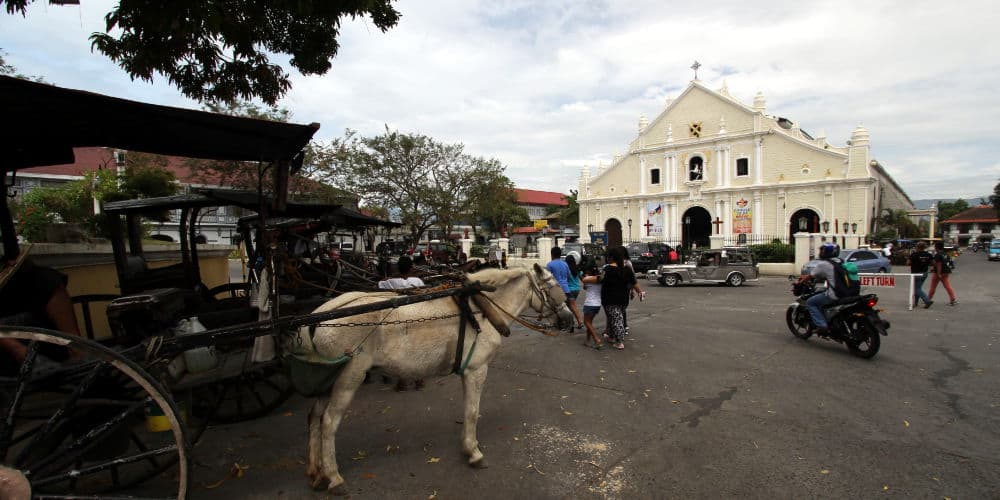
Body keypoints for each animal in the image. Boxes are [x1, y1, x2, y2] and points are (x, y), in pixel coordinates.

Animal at [294, 266, 572, 492]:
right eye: (555, 289)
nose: (569, 320)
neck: (480, 308)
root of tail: (321, 314)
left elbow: (468, 410)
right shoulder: (476, 369)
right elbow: (472, 411)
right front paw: (473, 452)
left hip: (326, 381)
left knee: (314, 418)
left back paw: (316, 473)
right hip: (348, 377)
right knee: (329, 421)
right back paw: (334, 478)